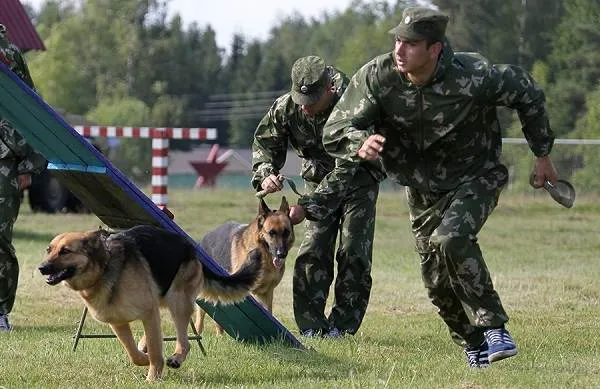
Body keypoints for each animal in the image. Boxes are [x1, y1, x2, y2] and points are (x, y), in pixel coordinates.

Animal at [37, 224, 262, 378]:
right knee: (155, 333)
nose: (41, 268)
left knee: (184, 341)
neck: (103, 268)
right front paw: (144, 360)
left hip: (178, 302)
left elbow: (155, 350)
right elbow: (133, 353)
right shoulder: (119, 322)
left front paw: (153, 377)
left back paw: (176, 358)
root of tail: (190, 247)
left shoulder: (147, 312)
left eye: (65, 251)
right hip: (161, 302)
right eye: (49, 250)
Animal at [196, 197, 294, 334]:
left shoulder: (268, 293)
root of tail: (204, 238)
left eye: (286, 232)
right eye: (271, 233)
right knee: (200, 318)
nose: (281, 254)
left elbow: (268, 314)